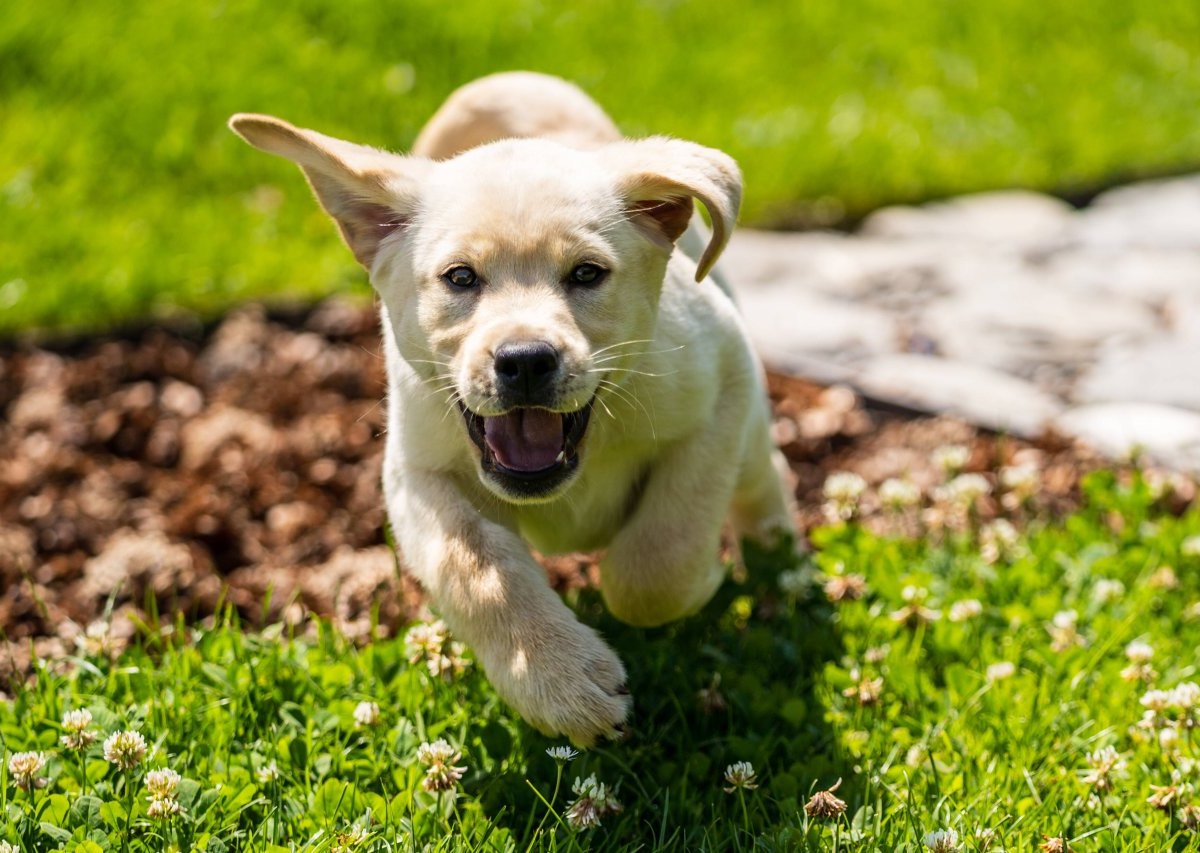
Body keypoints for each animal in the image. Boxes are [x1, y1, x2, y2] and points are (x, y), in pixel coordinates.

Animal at [232, 70, 796, 743]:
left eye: (586, 274)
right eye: (460, 278)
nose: (525, 361)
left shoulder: (722, 384)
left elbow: (656, 565)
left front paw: (699, 581)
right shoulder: (417, 471)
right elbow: (477, 567)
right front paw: (557, 678)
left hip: (751, 430)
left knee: (761, 482)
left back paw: (780, 562)